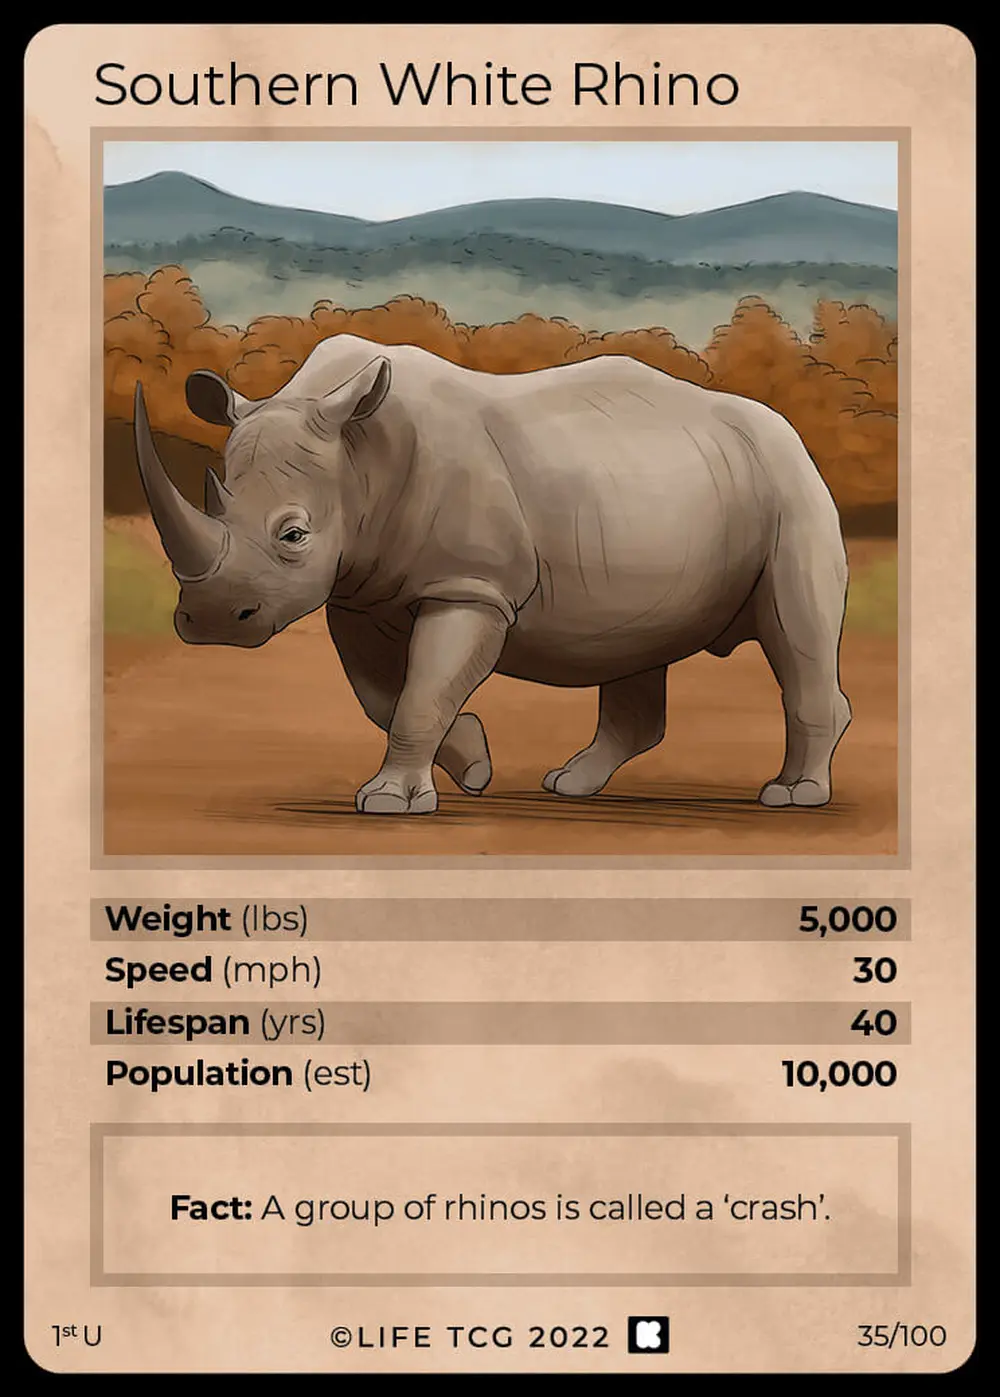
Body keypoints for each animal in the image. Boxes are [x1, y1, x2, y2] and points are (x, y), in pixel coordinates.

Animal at [133, 333, 851, 815]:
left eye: (293, 535)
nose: (213, 620)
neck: (358, 457)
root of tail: (787, 431)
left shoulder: (471, 586)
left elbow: (422, 689)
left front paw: (391, 802)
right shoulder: (358, 594)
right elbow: (382, 695)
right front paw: (474, 766)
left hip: (790, 486)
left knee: (796, 633)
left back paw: (793, 795)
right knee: (636, 643)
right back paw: (571, 785)